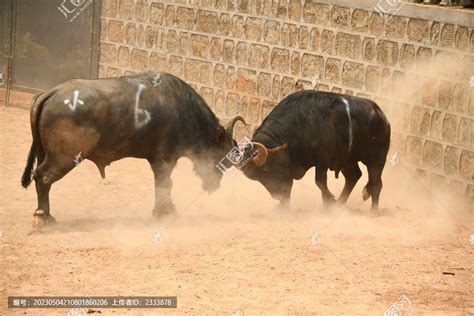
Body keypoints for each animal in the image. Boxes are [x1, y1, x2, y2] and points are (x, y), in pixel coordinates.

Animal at [21, 71, 244, 230]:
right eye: (223, 158)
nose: (213, 186)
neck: (183, 110)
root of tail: (50, 93)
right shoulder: (164, 160)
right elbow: (164, 185)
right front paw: (165, 213)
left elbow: (162, 185)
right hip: (64, 158)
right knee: (42, 177)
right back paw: (41, 217)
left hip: (44, 154)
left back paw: (48, 216)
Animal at [239, 90, 390, 211]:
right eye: (258, 178)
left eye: (266, 170)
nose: (278, 195)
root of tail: (382, 116)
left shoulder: (323, 160)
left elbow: (320, 182)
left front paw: (328, 203)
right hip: (348, 160)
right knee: (353, 176)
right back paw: (339, 204)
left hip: (376, 159)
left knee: (376, 182)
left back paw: (373, 211)